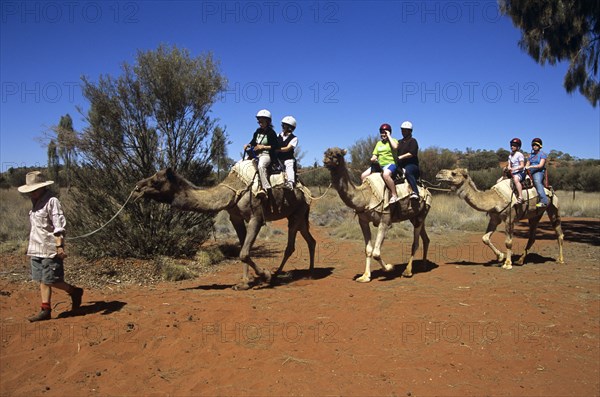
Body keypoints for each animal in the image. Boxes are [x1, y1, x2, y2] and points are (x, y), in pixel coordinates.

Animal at [134, 159, 316, 290]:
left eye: (156, 181)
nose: (137, 188)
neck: (233, 191)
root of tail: (305, 188)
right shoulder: (235, 217)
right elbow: (243, 249)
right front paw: (244, 283)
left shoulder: (256, 217)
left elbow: (244, 253)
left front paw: (265, 275)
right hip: (299, 214)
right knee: (310, 240)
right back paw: (307, 271)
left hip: (298, 211)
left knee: (291, 245)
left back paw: (280, 274)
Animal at [324, 147, 432, 280]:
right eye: (325, 153)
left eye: (338, 154)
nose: (326, 161)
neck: (366, 196)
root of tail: (427, 190)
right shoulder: (363, 221)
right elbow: (368, 250)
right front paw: (365, 276)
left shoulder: (385, 220)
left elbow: (376, 253)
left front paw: (390, 267)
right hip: (415, 216)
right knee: (426, 239)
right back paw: (424, 266)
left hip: (422, 213)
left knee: (415, 243)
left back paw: (407, 271)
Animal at [434, 168, 564, 270]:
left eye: (454, 173)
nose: (439, 173)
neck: (494, 198)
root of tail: (550, 188)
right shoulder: (494, 218)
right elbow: (485, 238)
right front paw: (500, 256)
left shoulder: (509, 218)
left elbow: (508, 242)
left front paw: (507, 263)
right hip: (535, 215)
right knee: (532, 237)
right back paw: (520, 260)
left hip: (553, 207)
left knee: (559, 233)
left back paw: (560, 259)